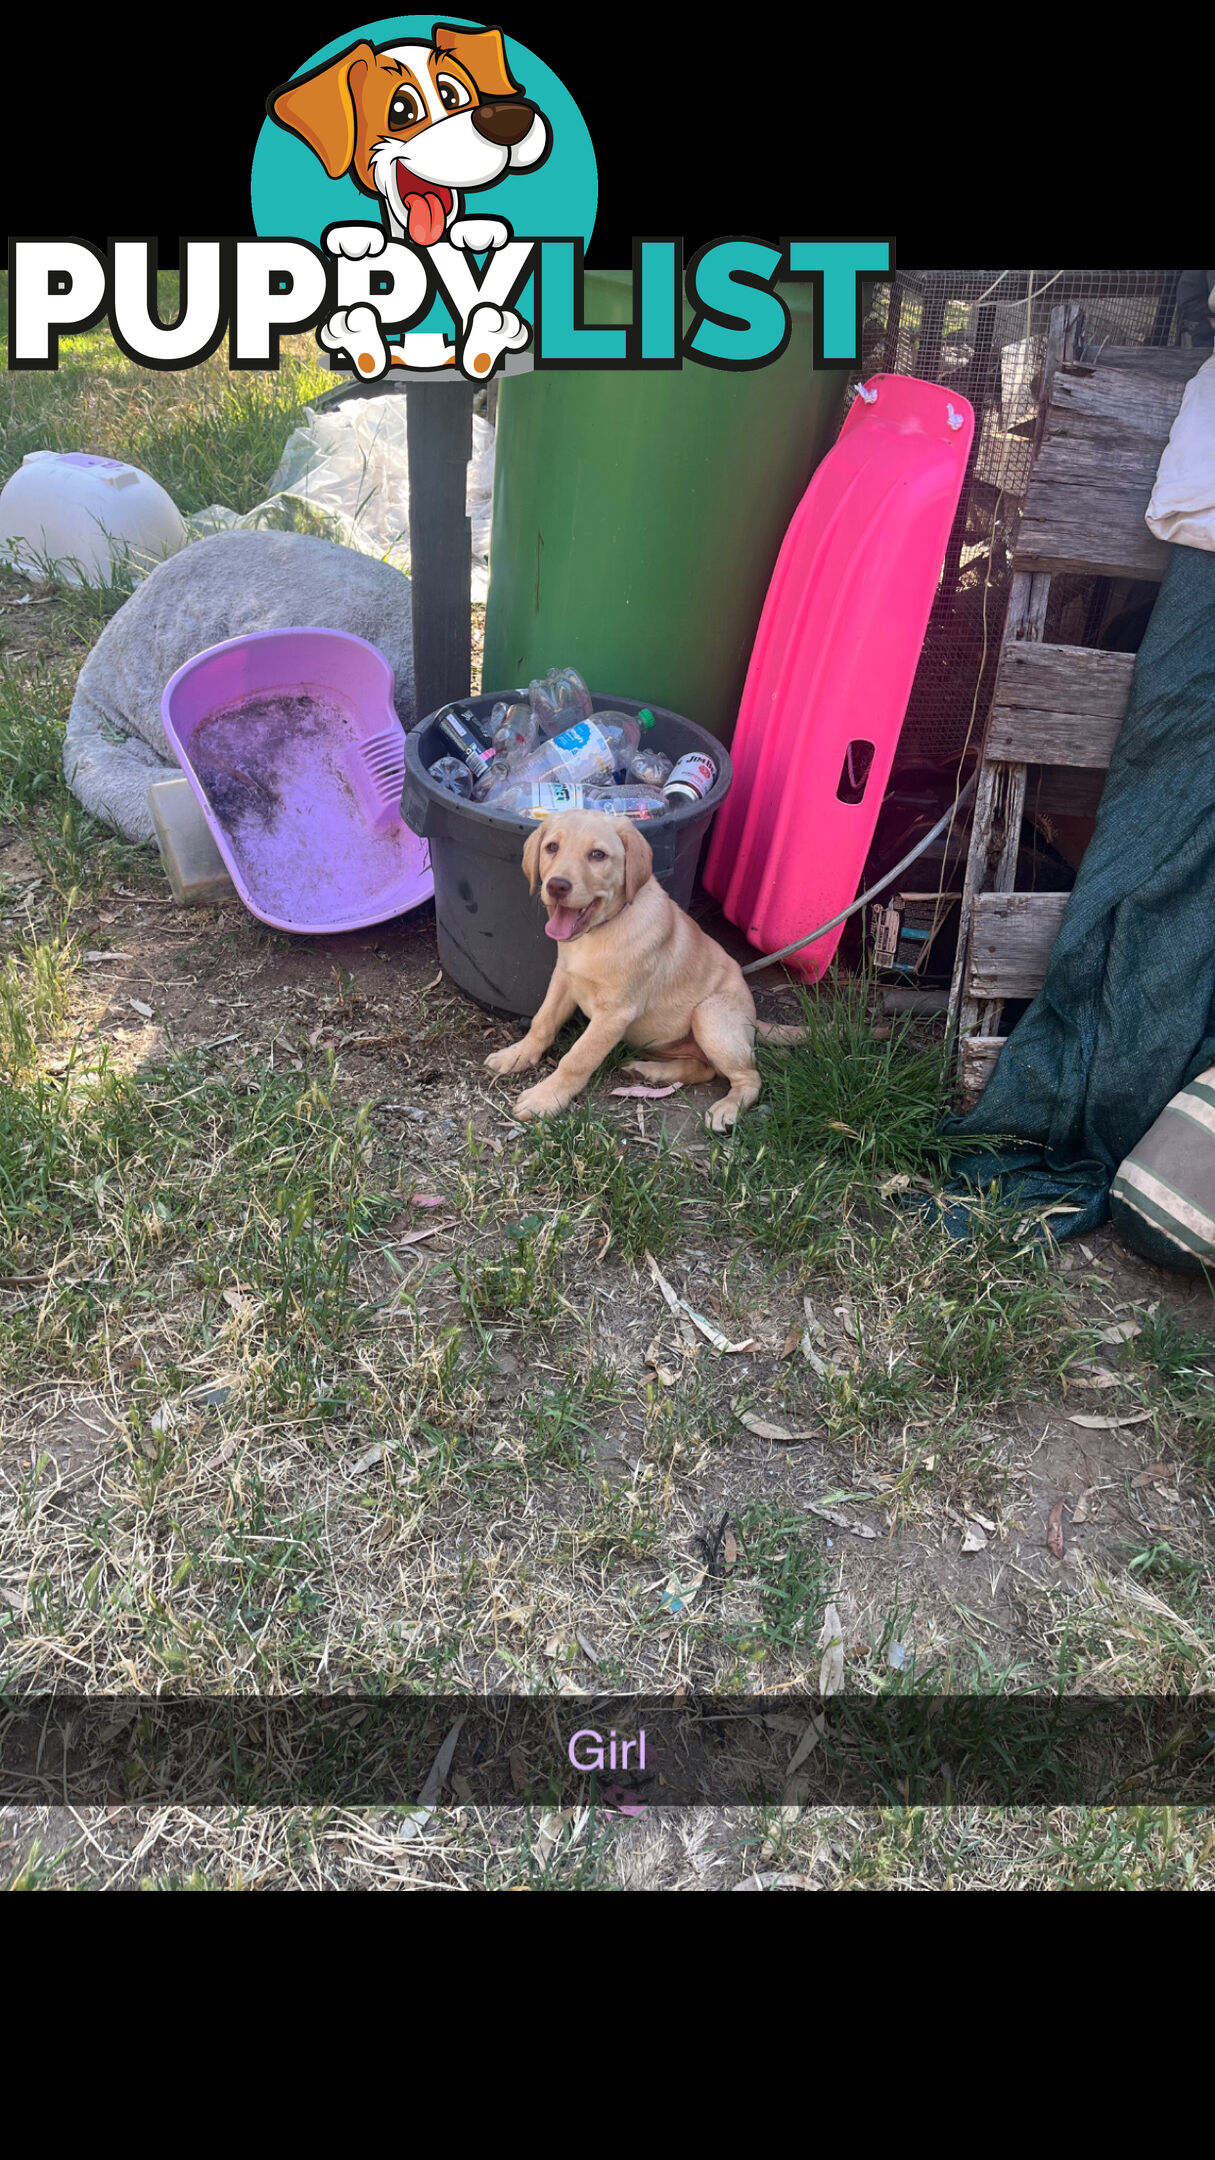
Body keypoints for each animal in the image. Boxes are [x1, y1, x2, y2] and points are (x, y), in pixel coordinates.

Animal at [482, 812, 804, 1140]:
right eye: (552, 847)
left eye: (597, 855)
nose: (557, 886)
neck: (601, 930)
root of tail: (753, 1018)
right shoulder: (563, 979)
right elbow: (542, 1021)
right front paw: (517, 1055)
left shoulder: (614, 1014)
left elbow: (577, 1058)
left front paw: (545, 1098)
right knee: (703, 1068)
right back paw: (649, 1071)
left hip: (709, 1014)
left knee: (749, 1076)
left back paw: (727, 1109)